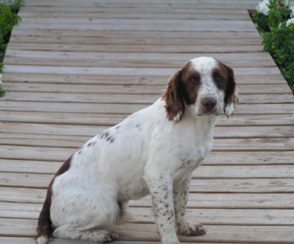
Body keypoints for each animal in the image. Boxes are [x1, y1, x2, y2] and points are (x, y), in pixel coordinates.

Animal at [36, 56, 238, 244]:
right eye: (192, 80)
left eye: (218, 77)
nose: (209, 103)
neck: (193, 124)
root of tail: (49, 195)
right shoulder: (158, 176)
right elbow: (167, 214)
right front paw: (171, 240)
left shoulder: (184, 176)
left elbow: (180, 207)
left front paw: (186, 228)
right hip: (106, 206)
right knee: (60, 230)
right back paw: (99, 235)